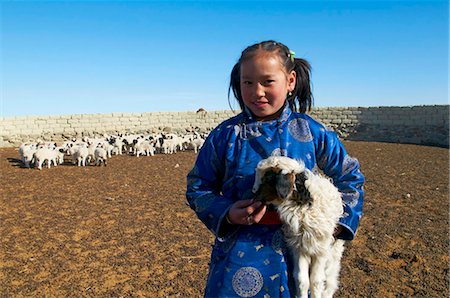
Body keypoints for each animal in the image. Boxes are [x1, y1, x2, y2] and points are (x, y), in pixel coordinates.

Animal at [253, 156, 344, 298]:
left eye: (267, 179)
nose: (254, 197)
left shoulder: (321, 249)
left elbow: (316, 281)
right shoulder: (300, 247)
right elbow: (303, 280)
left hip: (334, 253)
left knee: (330, 281)